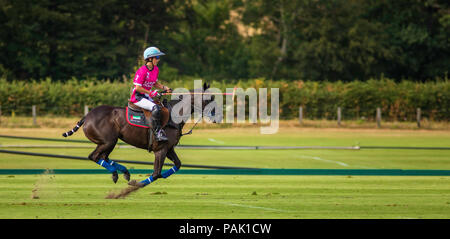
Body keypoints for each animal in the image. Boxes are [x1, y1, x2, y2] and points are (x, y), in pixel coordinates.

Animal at [62, 83, 215, 187]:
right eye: (208, 100)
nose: (216, 117)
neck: (173, 116)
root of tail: (87, 116)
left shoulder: (169, 148)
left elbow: (177, 165)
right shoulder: (161, 149)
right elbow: (156, 174)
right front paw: (135, 185)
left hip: (109, 142)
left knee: (103, 157)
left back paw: (122, 172)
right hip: (108, 141)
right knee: (94, 156)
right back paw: (118, 173)